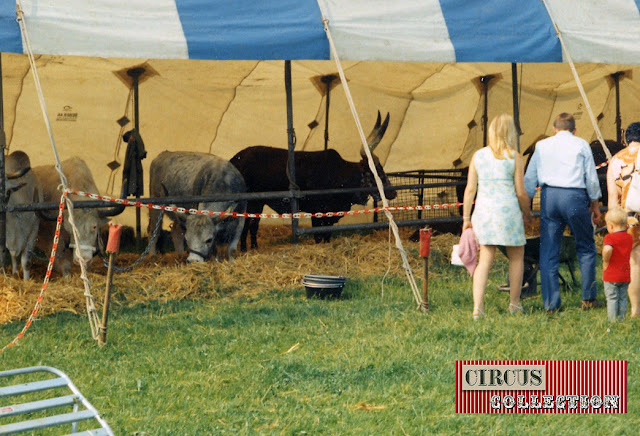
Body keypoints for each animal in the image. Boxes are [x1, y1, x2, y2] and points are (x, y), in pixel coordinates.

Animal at [230, 110, 396, 250]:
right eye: (376, 172)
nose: (393, 193)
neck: (339, 174)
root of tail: (236, 158)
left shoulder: (330, 215)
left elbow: (327, 236)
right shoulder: (317, 212)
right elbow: (318, 236)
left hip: (258, 203)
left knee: (253, 225)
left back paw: (254, 248)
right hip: (248, 202)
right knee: (245, 224)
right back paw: (244, 249)